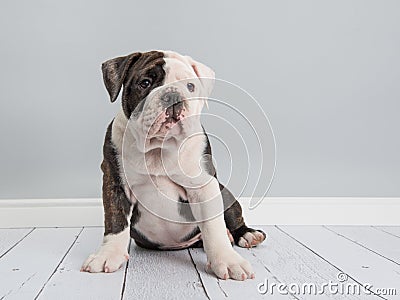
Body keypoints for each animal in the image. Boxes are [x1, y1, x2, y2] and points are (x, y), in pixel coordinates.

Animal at [81, 50, 268, 280]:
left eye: (190, 86)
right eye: (145, 82)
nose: (173, 96)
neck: (159, 147)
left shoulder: (204, 187)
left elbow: (213, 228)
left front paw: (228, 260)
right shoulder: (115, 183)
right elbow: (115, 222)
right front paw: (107, 255)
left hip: (225, 193)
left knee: (232, 219)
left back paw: (247, 234)